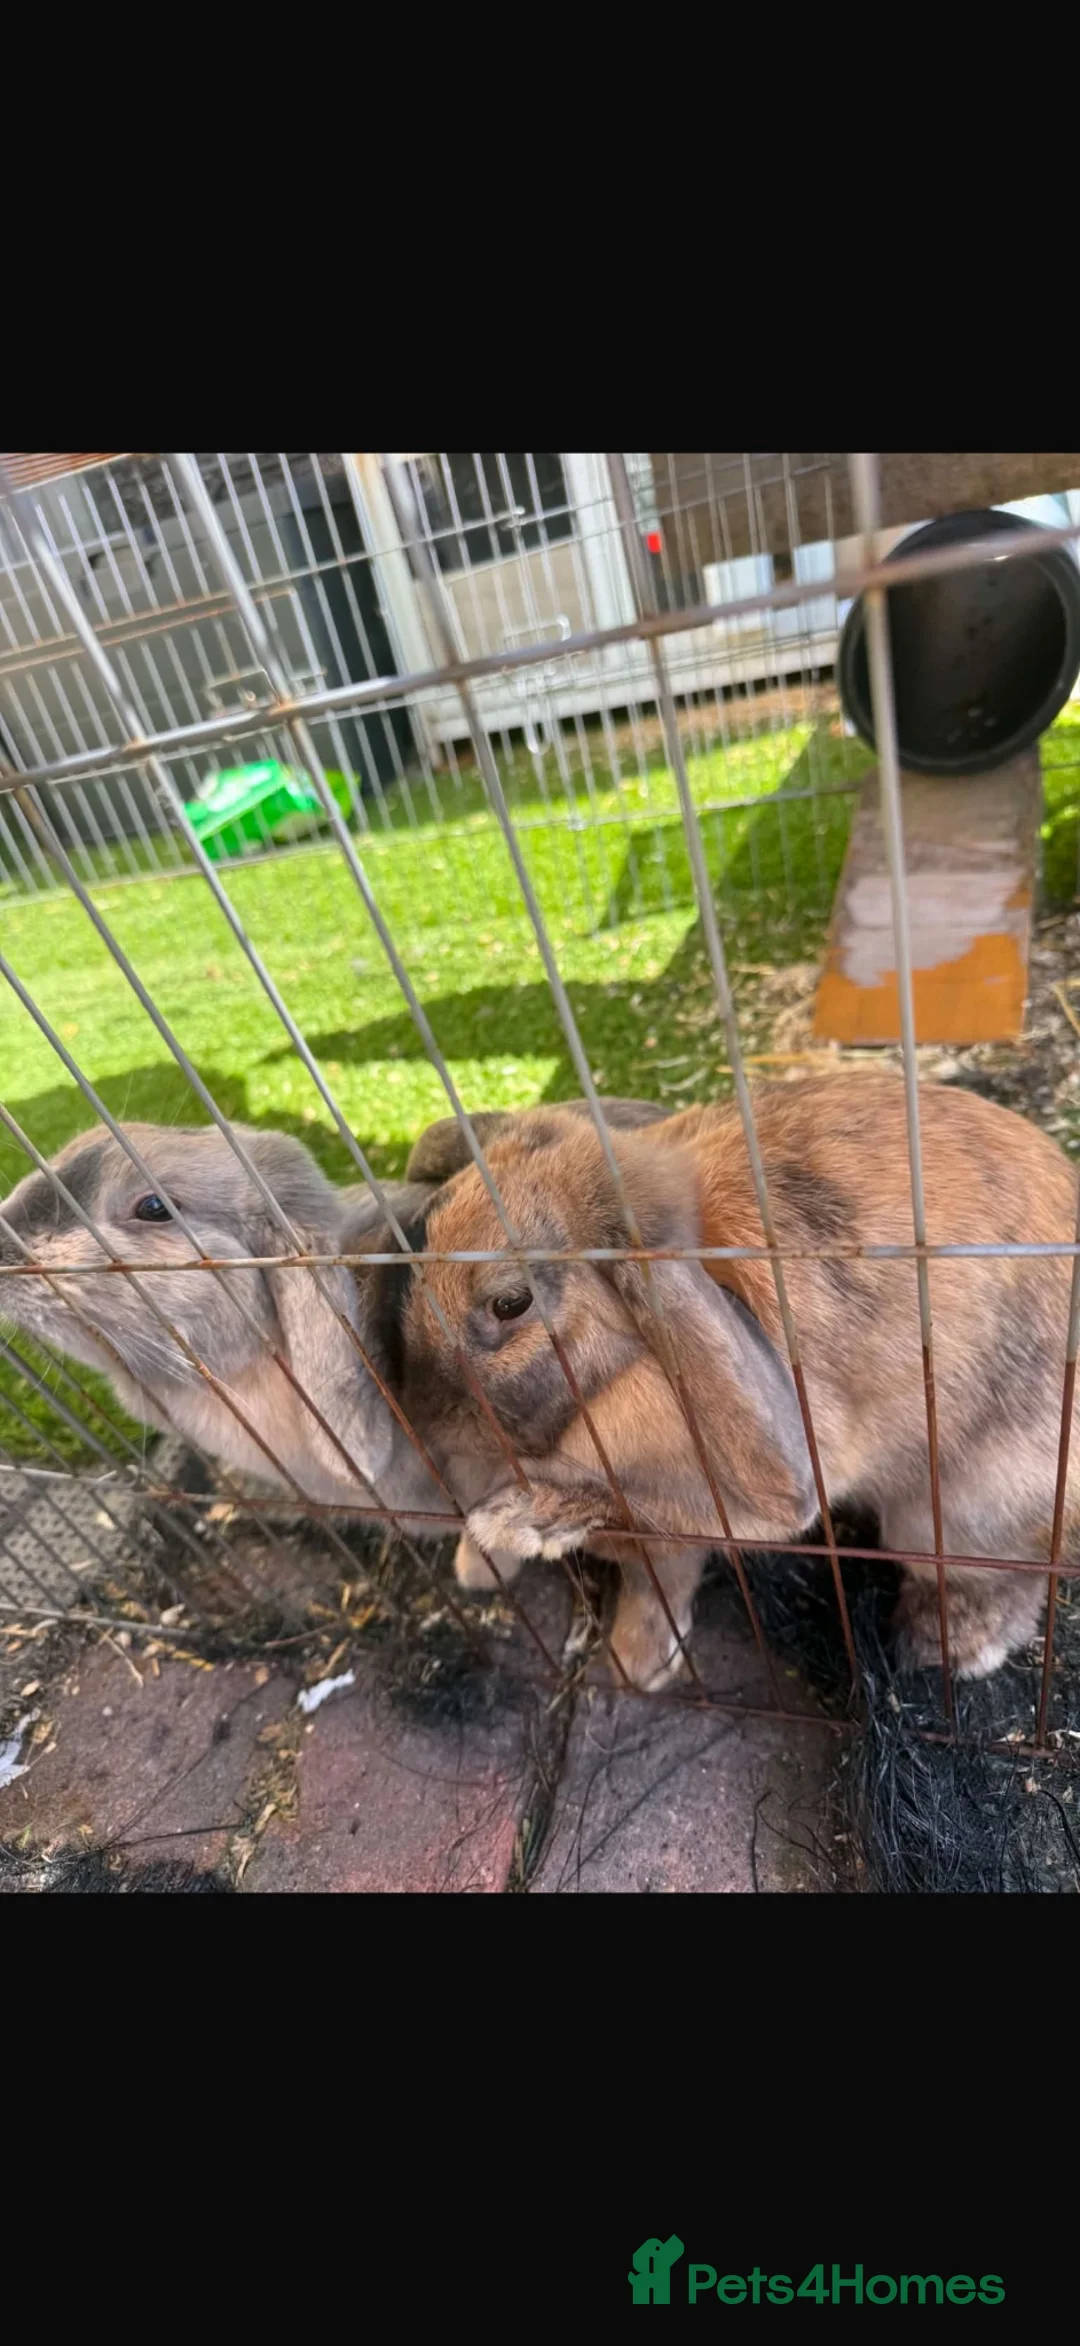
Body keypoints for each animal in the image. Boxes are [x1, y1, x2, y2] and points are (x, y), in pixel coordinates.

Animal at [394, 1073, 1080, 1693]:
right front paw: (635, 1659)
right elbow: (655, 1584)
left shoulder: (725, 1500)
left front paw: (521, 1522)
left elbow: (656, 1521)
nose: (425, 1415)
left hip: (961, 1509)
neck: (616, 1377)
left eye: (511, 1303)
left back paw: (947, 1647)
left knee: (1004, 1575)